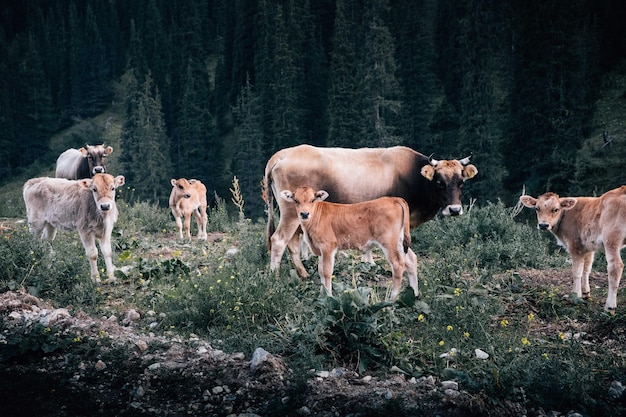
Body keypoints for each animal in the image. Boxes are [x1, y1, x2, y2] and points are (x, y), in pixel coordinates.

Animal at [260, 144, 476, 280]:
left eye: (461, 182)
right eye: (439, 182)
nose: (454, 209)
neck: (414, 174)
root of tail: (282, 155)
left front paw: (368, 263)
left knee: (292, 242)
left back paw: (303, 274)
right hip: (291, 213)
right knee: (279, 240)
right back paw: (274, 276)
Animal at [280, 186, 416, 300]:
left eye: (312, 200)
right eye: (296, 201)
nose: (304, 214)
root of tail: (393, 199)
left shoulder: (328, 247)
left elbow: (327, 272)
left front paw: (329, 297)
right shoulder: (320, 250)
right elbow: (321, 271)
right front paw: (322, 295)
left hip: (388, 242)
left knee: (398, 264)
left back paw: (392, 299)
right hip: (400, 242)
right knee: (411, 260)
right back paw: (415, 293)